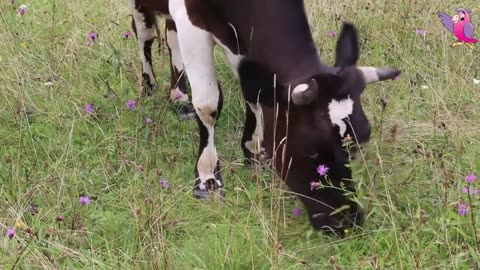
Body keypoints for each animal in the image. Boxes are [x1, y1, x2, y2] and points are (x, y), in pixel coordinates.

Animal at [128, 0, 402, 234]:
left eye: (361, 141)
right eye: (312, 151)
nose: (347, 221)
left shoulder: (240, 37)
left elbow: (253, 91)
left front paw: (254, 152)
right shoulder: (191, 21)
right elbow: (207, 104)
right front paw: (207, 179)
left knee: (170, 37)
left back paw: (179, 96)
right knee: (144, 32)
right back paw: (149, 84)